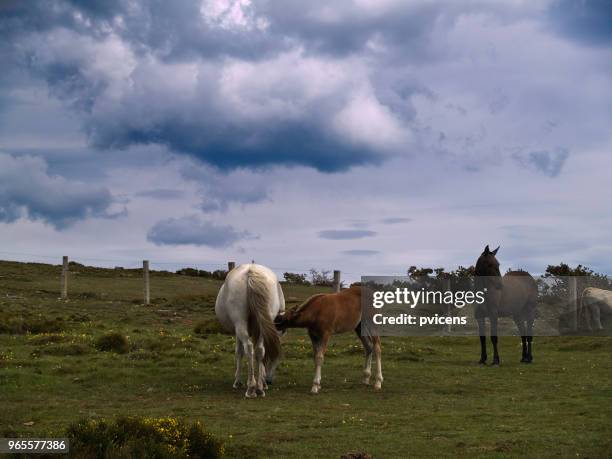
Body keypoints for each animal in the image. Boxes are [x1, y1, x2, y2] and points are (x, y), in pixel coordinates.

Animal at [215, 264, 284, 398]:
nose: (269, 380)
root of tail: (251, 270)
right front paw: (263, 382)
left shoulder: (237, 332)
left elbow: (239, 352)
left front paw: (238, 381)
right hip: (263, 325)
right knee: (260, 350)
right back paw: (259, 388)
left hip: (240, 323)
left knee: (248, 347)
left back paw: (251, 388)